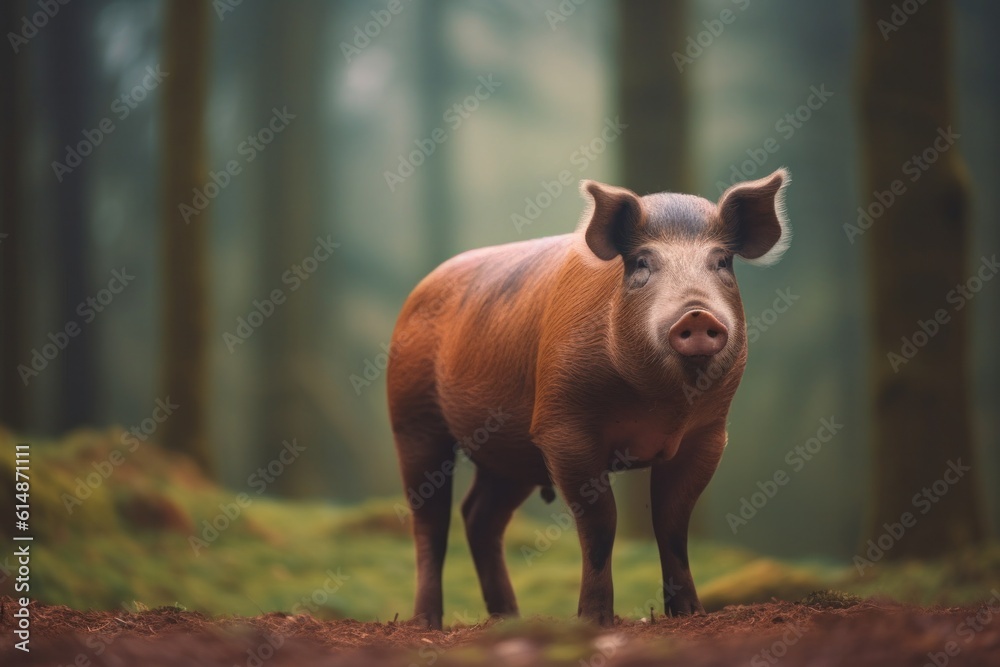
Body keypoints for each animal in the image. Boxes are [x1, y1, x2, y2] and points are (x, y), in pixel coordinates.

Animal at [388, 168, 791, 628]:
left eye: (722, 262)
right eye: (642, 263)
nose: (697, 314)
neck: (657, 401)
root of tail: (420, 288)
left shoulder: (707, 434)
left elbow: (672, 522)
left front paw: (690, 614)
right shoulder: (562, 427)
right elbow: (601, 522)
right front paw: (594, 621)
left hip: (509, 452)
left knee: (479, 517)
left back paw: (509, 620)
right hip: (412, 417)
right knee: (430, 521)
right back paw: (426, 622)